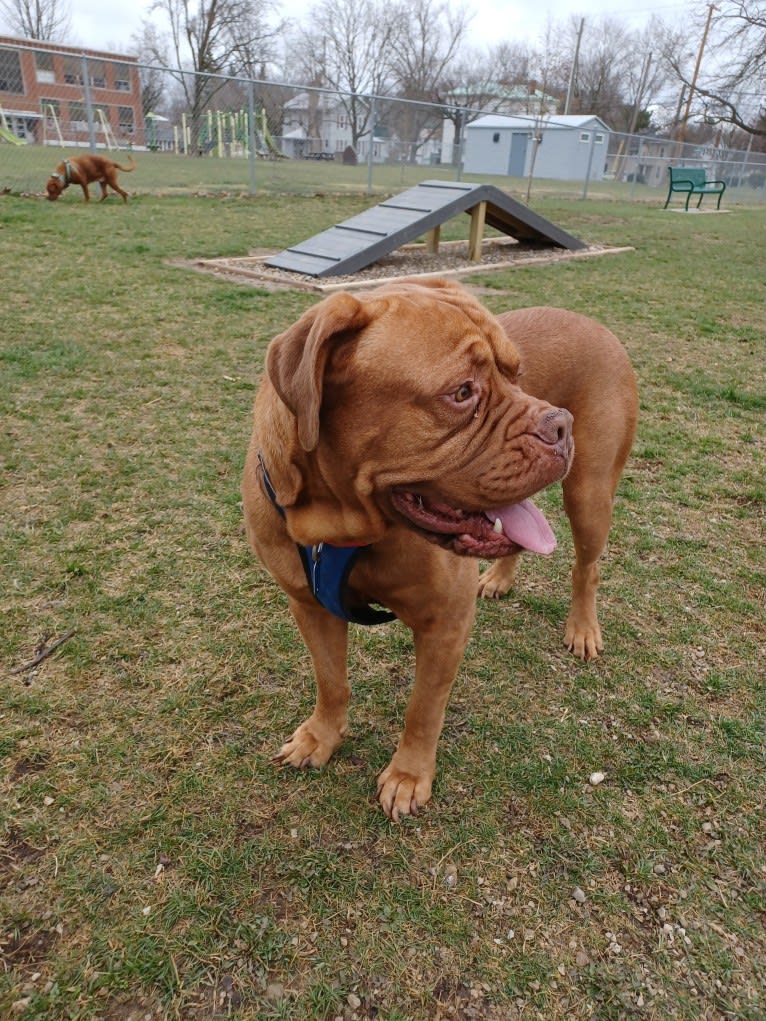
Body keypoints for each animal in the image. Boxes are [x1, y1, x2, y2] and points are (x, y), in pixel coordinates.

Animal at [241, 279, 637, 820]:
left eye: (517, 374)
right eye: (462, 393)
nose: (561, 425)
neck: (341, 526)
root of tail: (595, 324)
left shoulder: (444, 623)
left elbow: (423, 708)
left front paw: (408, 778)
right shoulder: (309, 605)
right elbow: (331, 680)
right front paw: (320, 738)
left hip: (590, 493)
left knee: (587, 567)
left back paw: (582, 629)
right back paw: (500, 578)